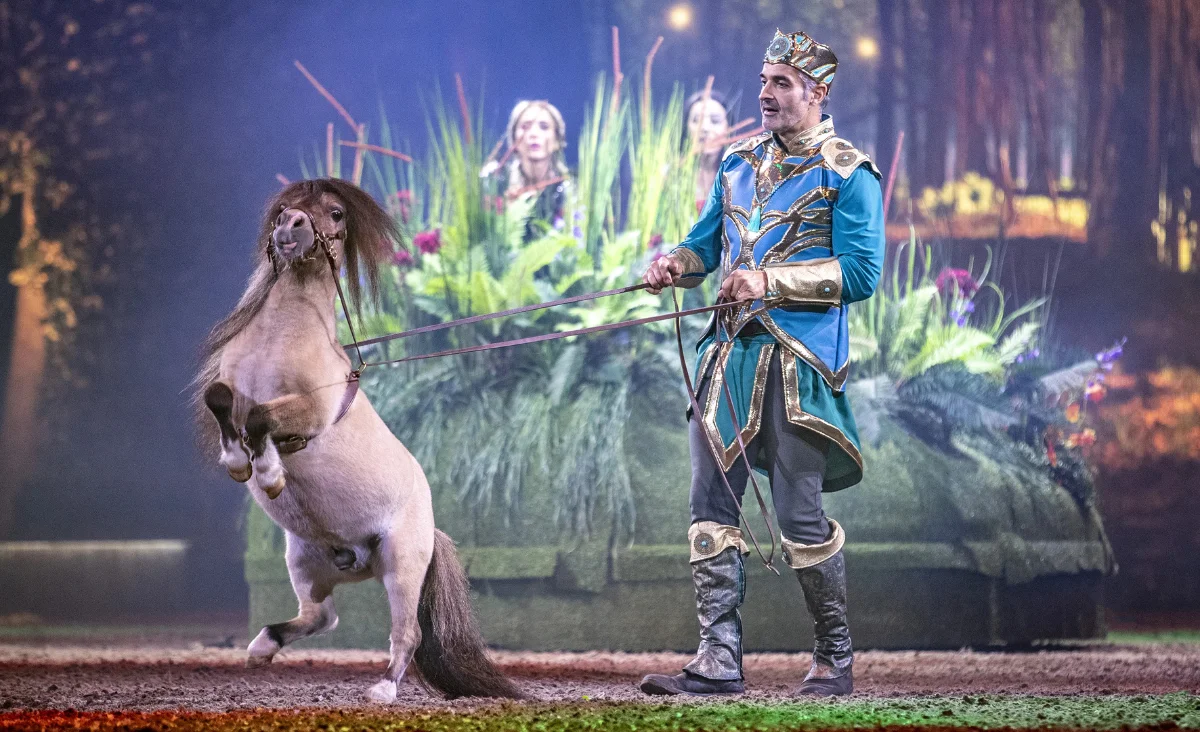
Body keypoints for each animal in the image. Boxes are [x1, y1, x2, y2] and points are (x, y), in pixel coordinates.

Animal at [193, 178, 522, 703]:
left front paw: (268, 473)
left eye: (335, 213)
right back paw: (263, 646)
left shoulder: (311, 411)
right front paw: (238, 461)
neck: (280, 341)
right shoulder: (233, 391)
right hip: (305, 562)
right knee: (321, 616)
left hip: (401, 567)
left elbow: (264, 418)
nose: (290, 226)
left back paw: (383, 689)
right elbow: (220, 398)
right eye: (285, 207)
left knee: (407, 633)